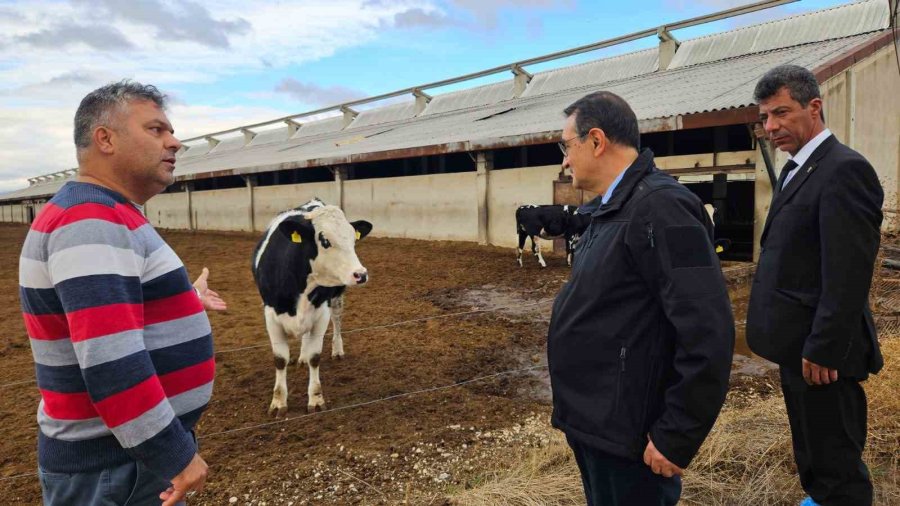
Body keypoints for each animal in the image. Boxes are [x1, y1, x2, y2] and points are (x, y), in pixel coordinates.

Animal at [251, 199, 370, 416]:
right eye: (325, 241)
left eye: (353, 239)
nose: (361, 274)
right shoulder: (270, 315)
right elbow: (280, 359)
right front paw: (278, 402)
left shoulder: (321, 312)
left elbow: (316, 357)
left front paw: (315, 399)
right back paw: (302, 357)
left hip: (336, 297)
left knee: (337, 320)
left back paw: (336, 350)